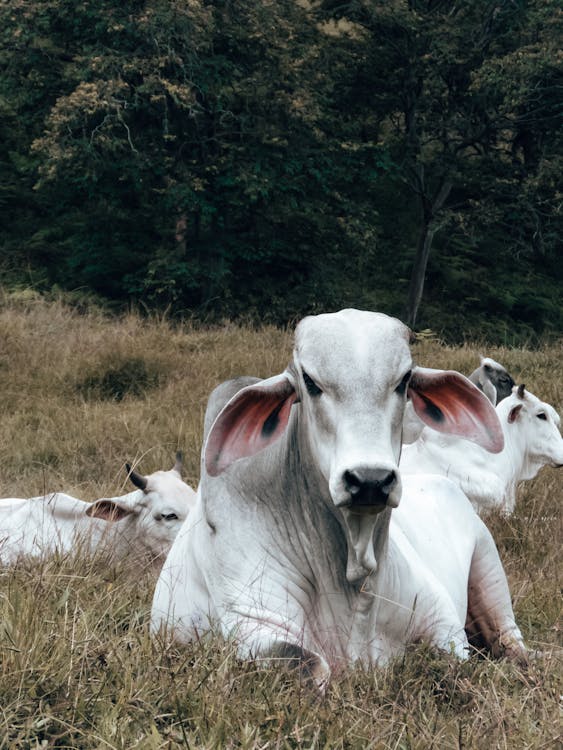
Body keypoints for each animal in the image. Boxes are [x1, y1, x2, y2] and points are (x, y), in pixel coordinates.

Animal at [151, 310, 528, 688]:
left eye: (404, 380)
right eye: (310, 381)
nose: (370, 480)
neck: (354, 577)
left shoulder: (441, 620)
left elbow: (454, 663)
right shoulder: (253, 620)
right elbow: (310, 664)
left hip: (488, 564)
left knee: (509, 637)